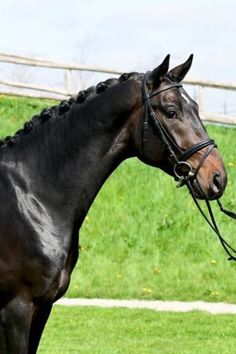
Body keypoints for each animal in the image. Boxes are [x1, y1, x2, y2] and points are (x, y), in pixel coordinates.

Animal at [0, 54, 228, 352]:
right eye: (171, 112)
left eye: (196, 108)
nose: (217, 177)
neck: (32, 193)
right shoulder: (16, 309)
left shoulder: (42, 309)